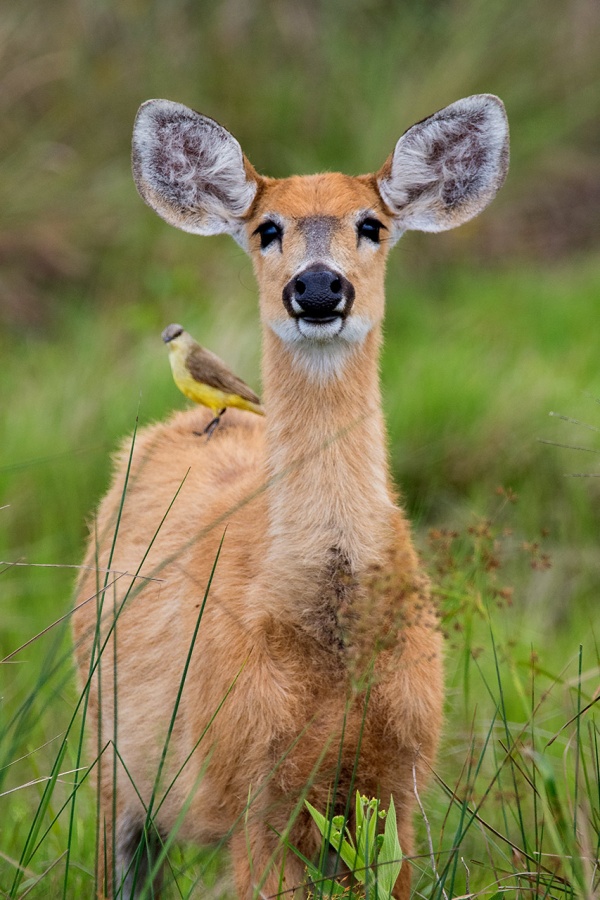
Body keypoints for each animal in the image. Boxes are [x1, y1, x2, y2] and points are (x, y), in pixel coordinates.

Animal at [72, 93, 508, 900]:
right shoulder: (253, 790)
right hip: (109, 750)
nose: (317, 287)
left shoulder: (399, 783)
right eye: (265, 228)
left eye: (372, 224)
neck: (332, 640)